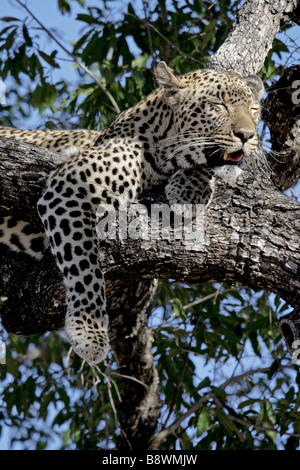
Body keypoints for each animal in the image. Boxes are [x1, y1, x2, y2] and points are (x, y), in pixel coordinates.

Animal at [0, 61, 262, 364]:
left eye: (254, 110)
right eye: (218, 105)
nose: (248, 136)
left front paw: (191, 188)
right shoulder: (72, 184)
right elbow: (84, 266)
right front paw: (88, 331)